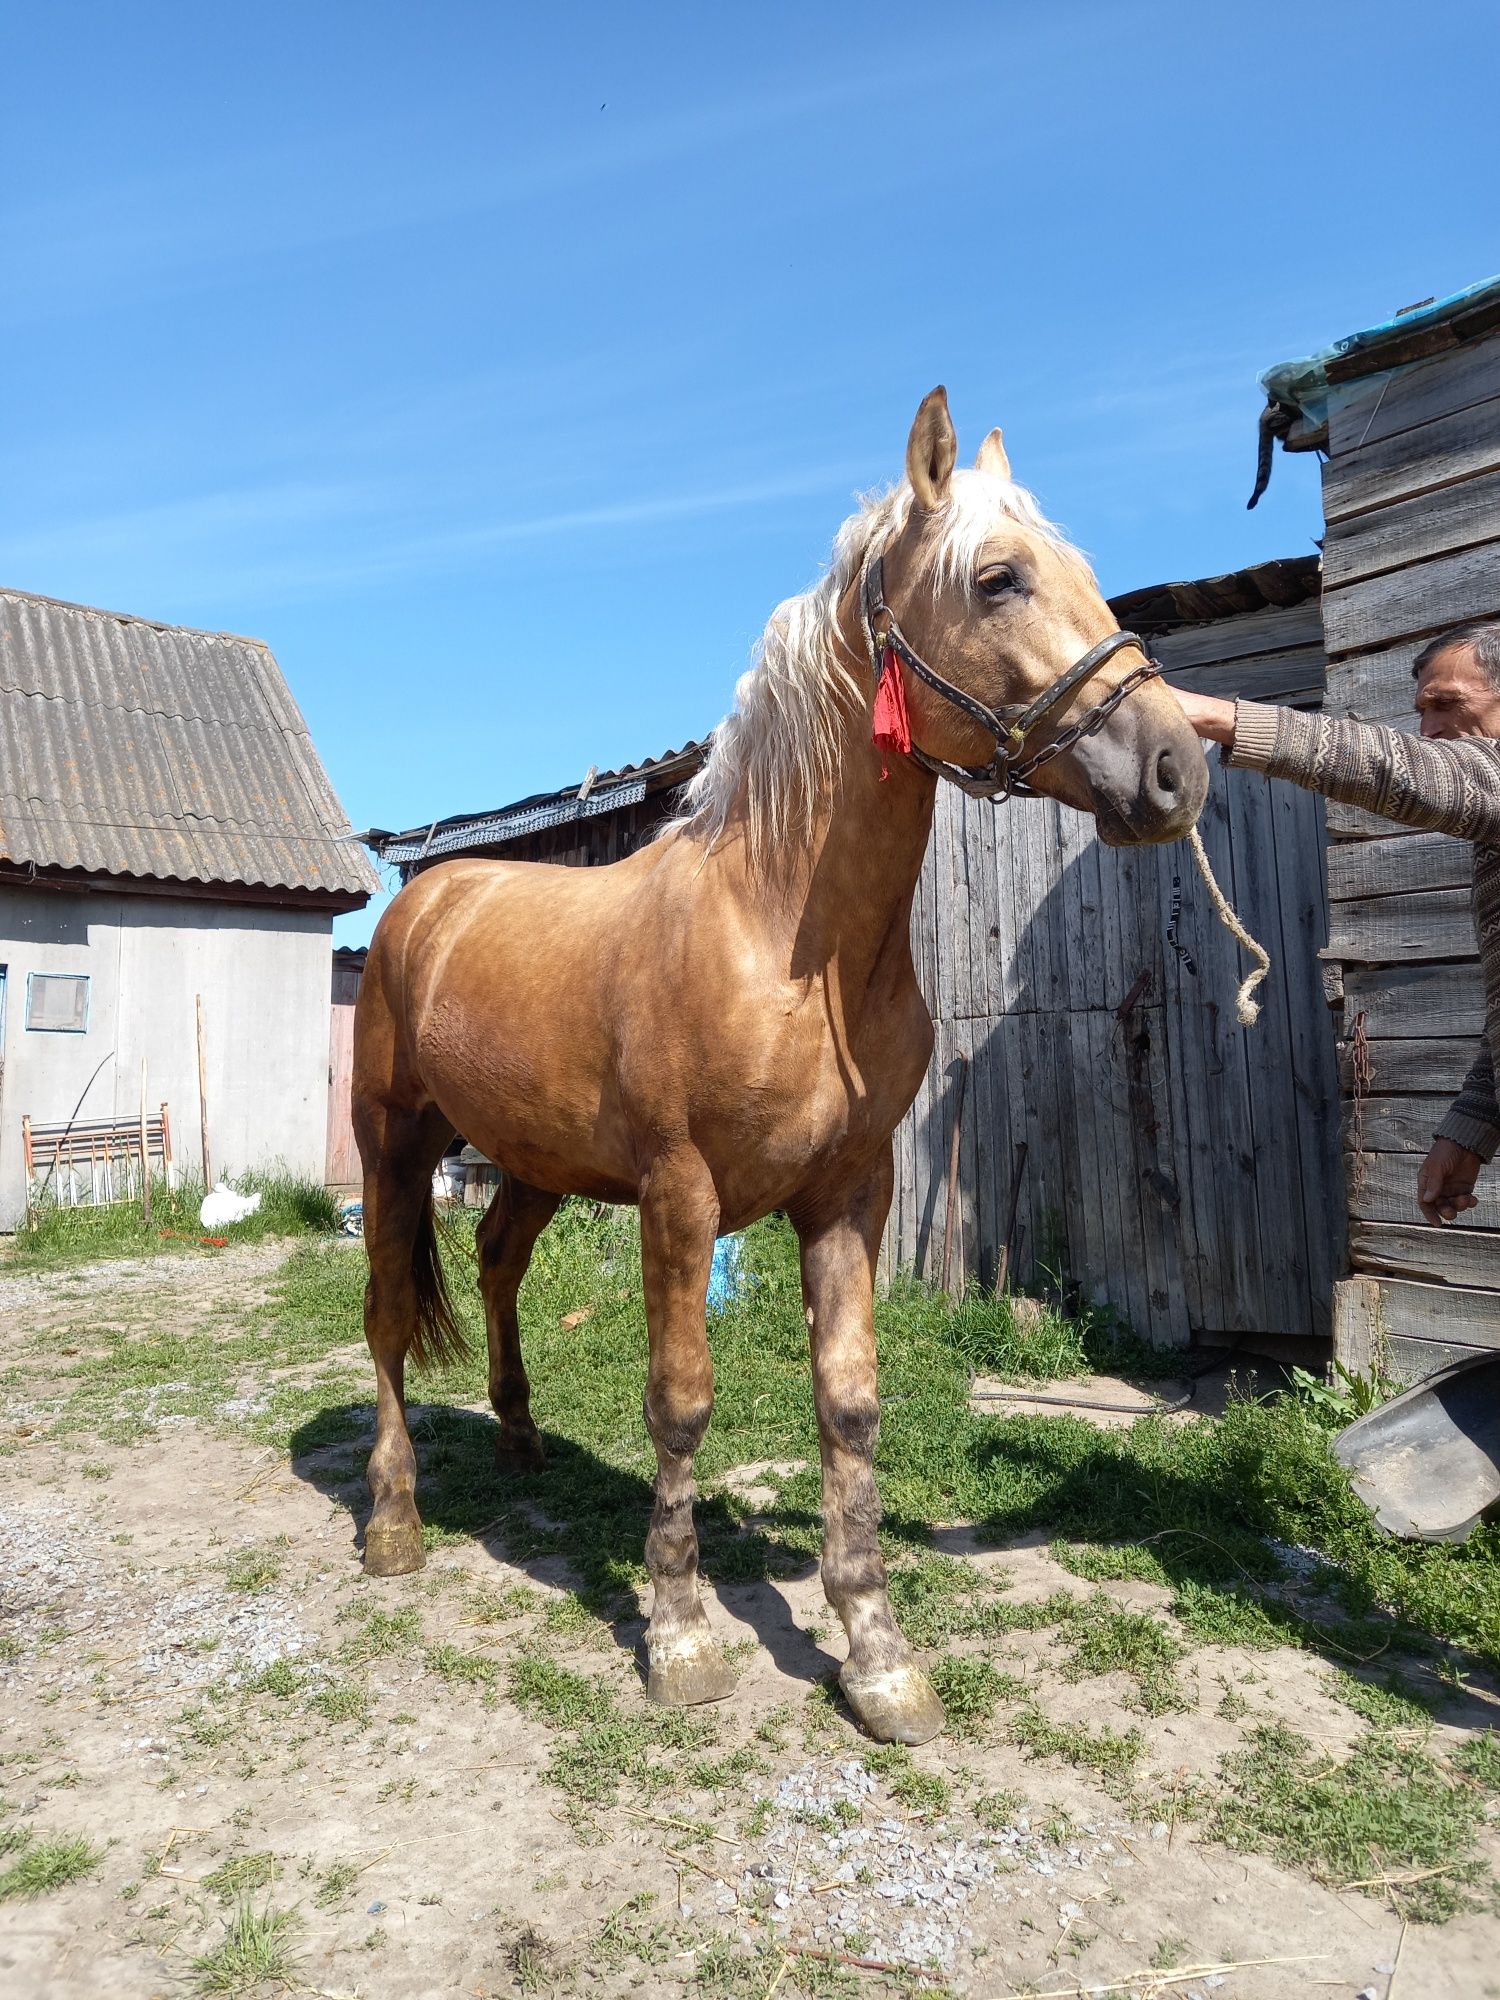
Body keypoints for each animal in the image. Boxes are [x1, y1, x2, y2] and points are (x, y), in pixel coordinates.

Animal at [352, 386, 1208, 1736]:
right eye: (1001, 579)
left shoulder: (851, 1191)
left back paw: (521, 1441)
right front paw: (680, 1632)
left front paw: (877, 1651)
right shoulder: (679, 1195)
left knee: (493, 1263)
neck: (785, 941)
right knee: (388, 1314)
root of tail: (423, 900)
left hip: (531, 1162)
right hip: (390, 1142)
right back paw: (394, 1521)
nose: (1180, 765)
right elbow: (680, 1400)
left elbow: (848, 1401)